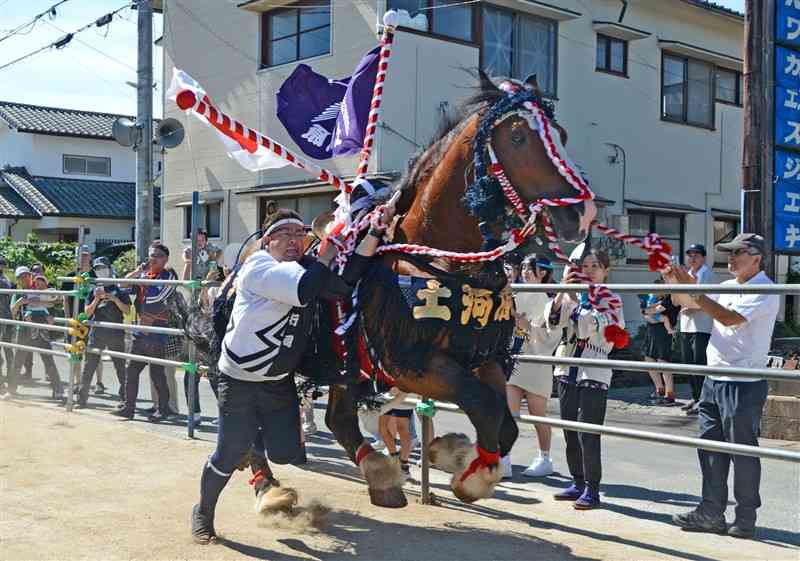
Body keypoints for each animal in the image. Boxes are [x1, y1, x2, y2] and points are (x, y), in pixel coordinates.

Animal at [320, 72, 592, 506]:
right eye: (518, 137)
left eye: (561, 134)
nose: (581, 212)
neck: (442, 255)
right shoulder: (408, 363)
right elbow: (483, 405)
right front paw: (468, 470)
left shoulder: (483, 354)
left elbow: (504, 422)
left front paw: (459, 457)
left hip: (346, 367)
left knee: (339, 418)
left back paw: (381, 475)